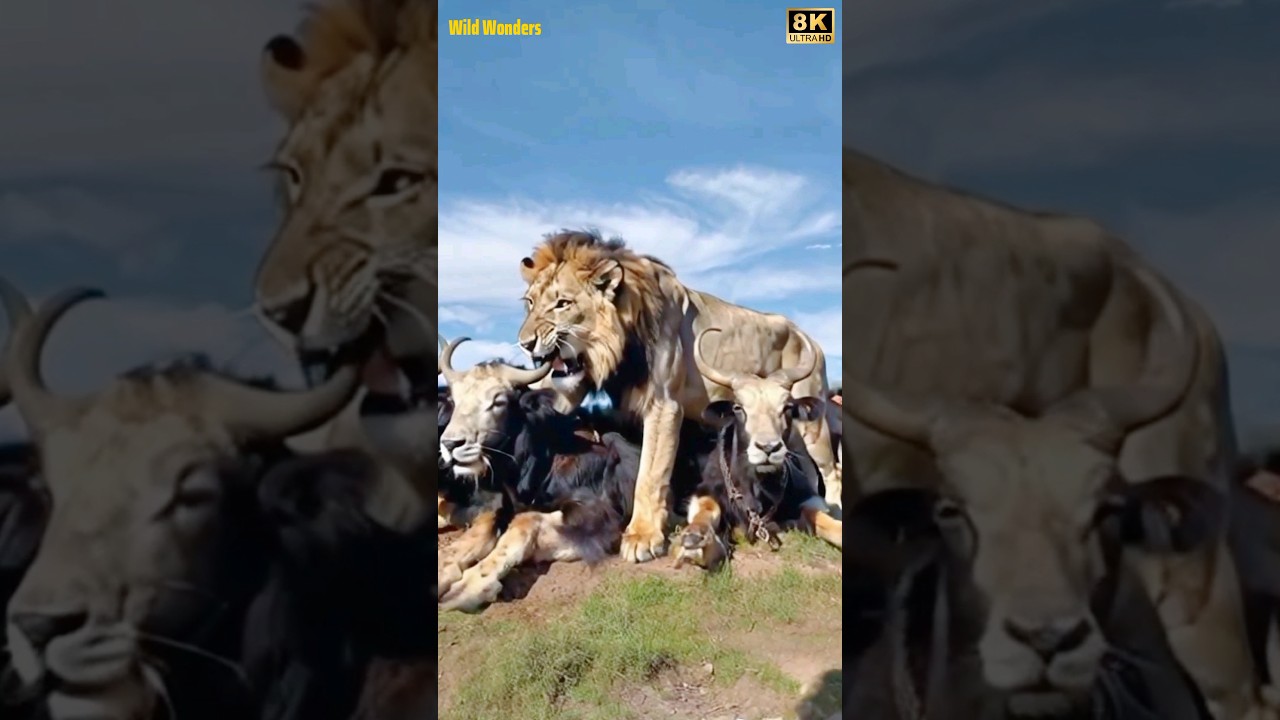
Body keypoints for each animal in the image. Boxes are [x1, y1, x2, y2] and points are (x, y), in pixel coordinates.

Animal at [516, 231, 839, 563]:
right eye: (530, 303)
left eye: (562, 304)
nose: (525, 344)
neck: (616, 345)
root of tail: (809, 337)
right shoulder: (568, 390)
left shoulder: (664, 405)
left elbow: (650, 473)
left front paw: (642, 536)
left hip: (813, 426)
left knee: (833, 472)